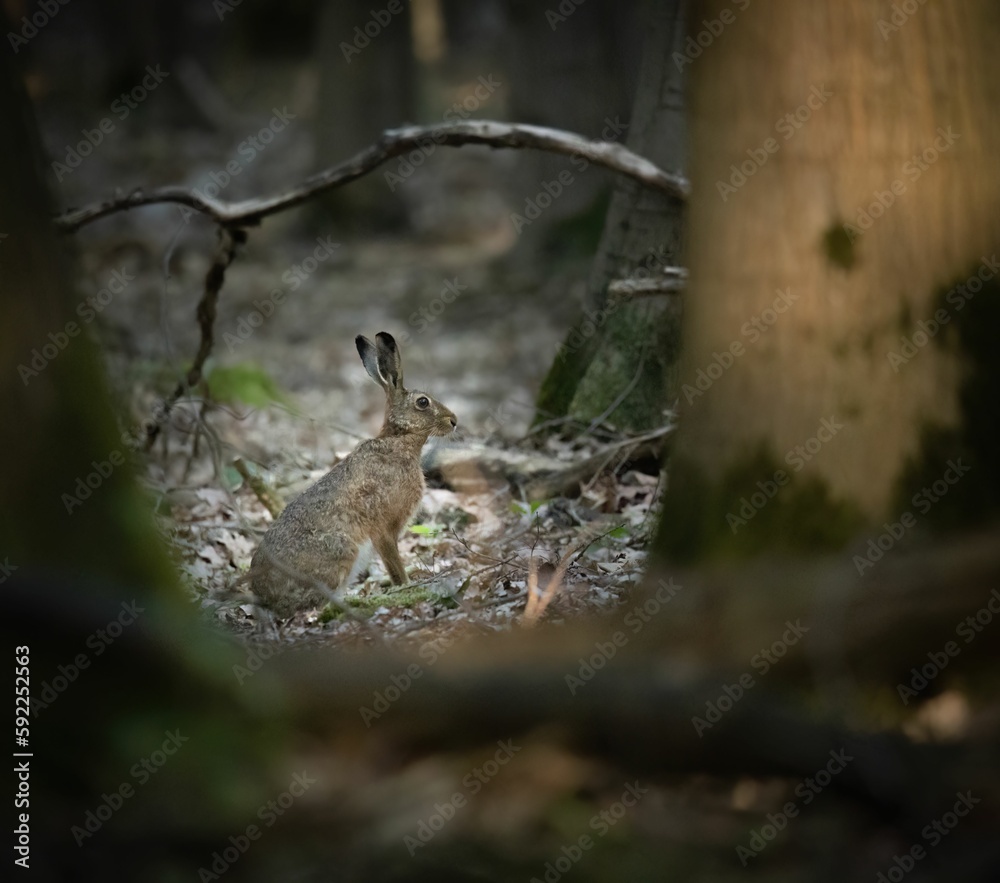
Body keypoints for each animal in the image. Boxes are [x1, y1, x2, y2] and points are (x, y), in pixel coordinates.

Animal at [248, 332, 457, 618]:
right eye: (423, 402)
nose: (454, 420)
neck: (398, 440)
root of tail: (261, 594)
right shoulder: (383, 528)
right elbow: (394, 563)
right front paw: (407, 585)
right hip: (340, 551)